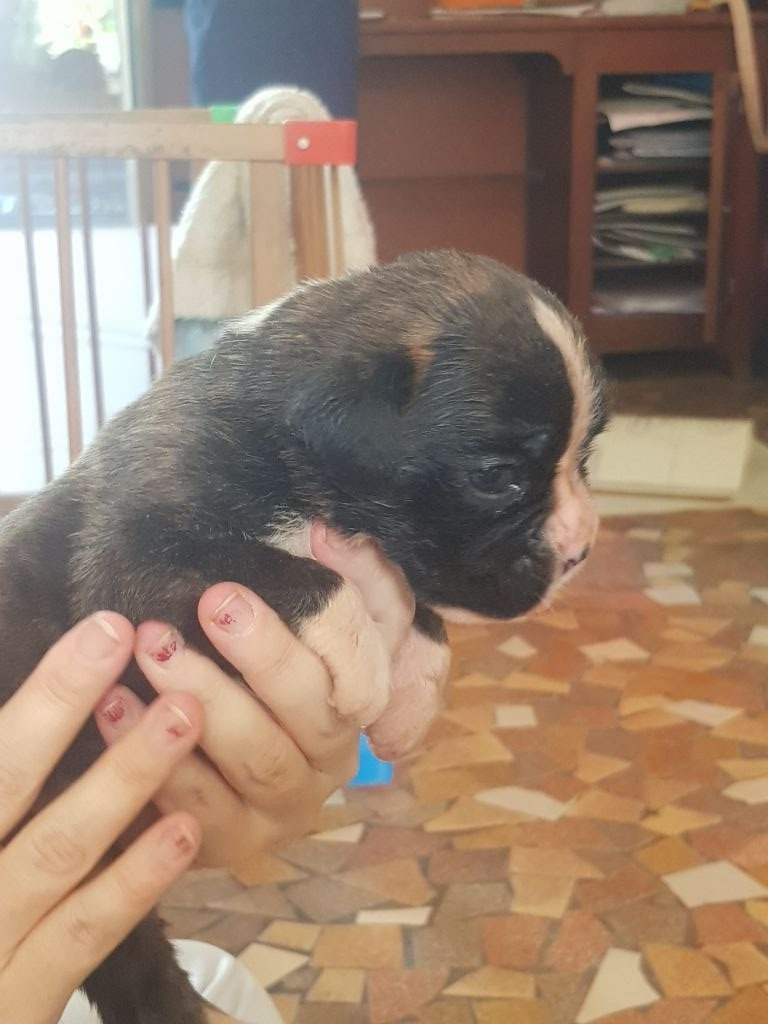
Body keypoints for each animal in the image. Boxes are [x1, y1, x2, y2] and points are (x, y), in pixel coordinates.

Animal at [0, 250, 607, 1023]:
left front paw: (415, 686)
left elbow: (414, 600)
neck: (276, 433)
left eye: (583, 457)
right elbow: (298, 575)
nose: (581, 549)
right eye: (496, 478)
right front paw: (364, 660)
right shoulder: (135, 564)